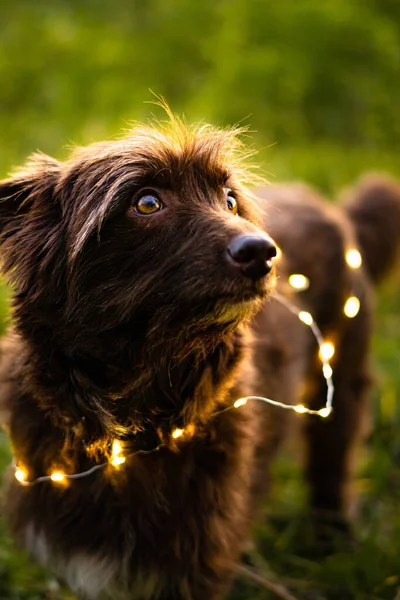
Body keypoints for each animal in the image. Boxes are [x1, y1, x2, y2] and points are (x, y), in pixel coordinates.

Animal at [0, 113, 398, 600]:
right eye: (147, 202)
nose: (263, 251)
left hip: (341, 379)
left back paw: (331, 540)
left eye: (229, 200)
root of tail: (332, 207)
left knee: (332, 465)